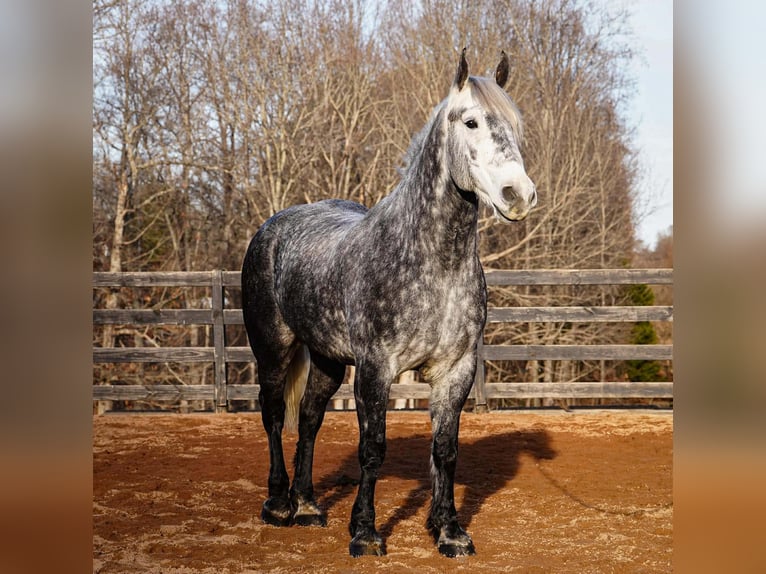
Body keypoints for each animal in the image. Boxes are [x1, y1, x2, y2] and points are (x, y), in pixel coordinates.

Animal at [241, 48, 537, 558]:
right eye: (471, 121)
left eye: (515, 126)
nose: (517, 195)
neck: (430, 261)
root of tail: (272, 229)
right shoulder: (376, 368)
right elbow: (372, 448)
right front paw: (364, 533)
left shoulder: (456, 370)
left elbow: (445, 450)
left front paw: (449, 532)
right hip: (273, 349)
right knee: (276, 414)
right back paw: (278, 505)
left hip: (327, 358)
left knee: (310, 418)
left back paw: (308, 507)